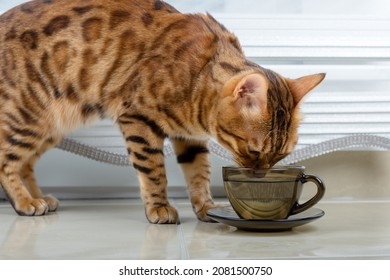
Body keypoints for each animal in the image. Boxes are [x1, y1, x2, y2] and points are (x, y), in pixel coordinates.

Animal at [0, 0, 324, 223]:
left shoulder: (190, 138)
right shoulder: (138, 119)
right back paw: (25, 203)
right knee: (6, 160)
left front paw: (206, 207)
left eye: (281, 155)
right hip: (28, 115)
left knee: (25, 163)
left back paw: (38, 196)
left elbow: (199, 173)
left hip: (52, 125)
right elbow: (154, 171)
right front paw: (159, 207)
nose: (260, 175)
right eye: (254, 151)